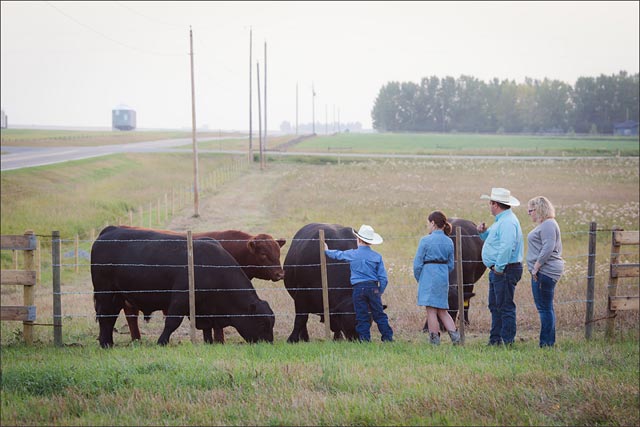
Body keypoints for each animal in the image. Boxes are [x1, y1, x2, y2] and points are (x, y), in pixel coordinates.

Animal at [90, 226, 276, 350]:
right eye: (262, 323)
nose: (268, 343)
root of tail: (109, 230)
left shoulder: (204, 309)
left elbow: (207, 327)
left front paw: (208, 343)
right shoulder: (181, 299)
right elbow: (172, 322)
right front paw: (162, 342)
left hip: (117, 297)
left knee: (111, 317)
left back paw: (108, 342)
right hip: (105, 294)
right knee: (105, 317)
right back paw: (105, 343)